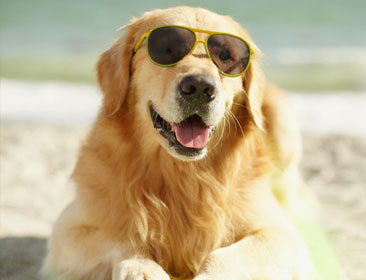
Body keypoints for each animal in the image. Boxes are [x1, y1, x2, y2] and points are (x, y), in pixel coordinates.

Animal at [42, 6, 318, 280]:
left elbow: (225, 256)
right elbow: (122, 241)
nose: (200, 88)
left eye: (225, 55)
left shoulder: (280, 234)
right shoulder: (69, 229)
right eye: (166, 49)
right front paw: (142, 268)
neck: (182, 175)